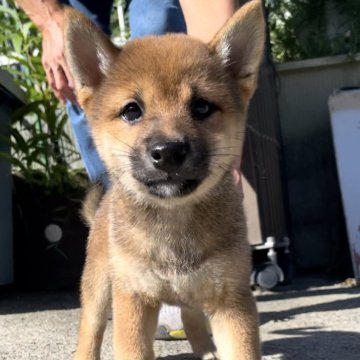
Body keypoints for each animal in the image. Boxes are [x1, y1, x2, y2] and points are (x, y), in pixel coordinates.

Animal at [64, 1, 266, 358]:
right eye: (132, 110)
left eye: (202, 107)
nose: (169, 151)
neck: (174, 224)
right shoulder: (133, 300)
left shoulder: (232, 301)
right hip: (100, 287)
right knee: (91, 328)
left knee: (189, 315)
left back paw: (205, 350)